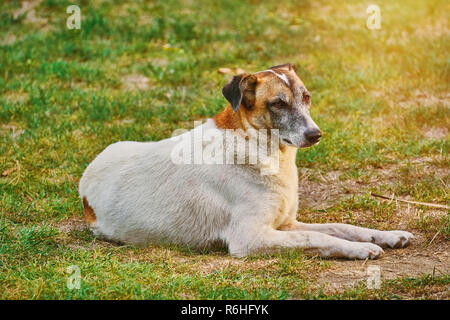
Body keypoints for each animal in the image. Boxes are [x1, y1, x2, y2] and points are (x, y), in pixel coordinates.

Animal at [79, 63, 414, 260]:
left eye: (306, 97)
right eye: (278, 103)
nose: (316, 135)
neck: (260, 148)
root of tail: (85, 186)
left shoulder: (286, 223)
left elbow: (342, 226)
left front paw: (387, 236)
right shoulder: (250, 238)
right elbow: (316, 236)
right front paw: (360, 249)